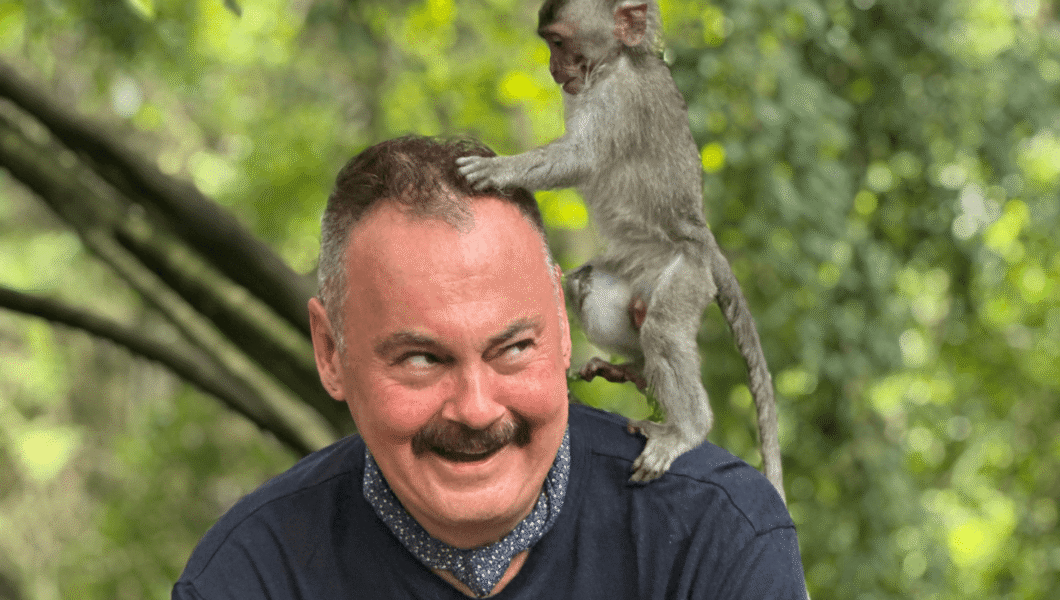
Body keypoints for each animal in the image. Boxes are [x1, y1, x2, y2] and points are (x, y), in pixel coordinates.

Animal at [456, 0, 784, 500]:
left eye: (558, 41)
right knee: (586, 287)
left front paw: (499, 170)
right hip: (637, 271)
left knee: (664, 330)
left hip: (687, 274)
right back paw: (637, 367)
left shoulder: (621, 97)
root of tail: (700, 235)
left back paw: (686, 429)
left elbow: (579, 157)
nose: (553, 69)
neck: (615, 61)